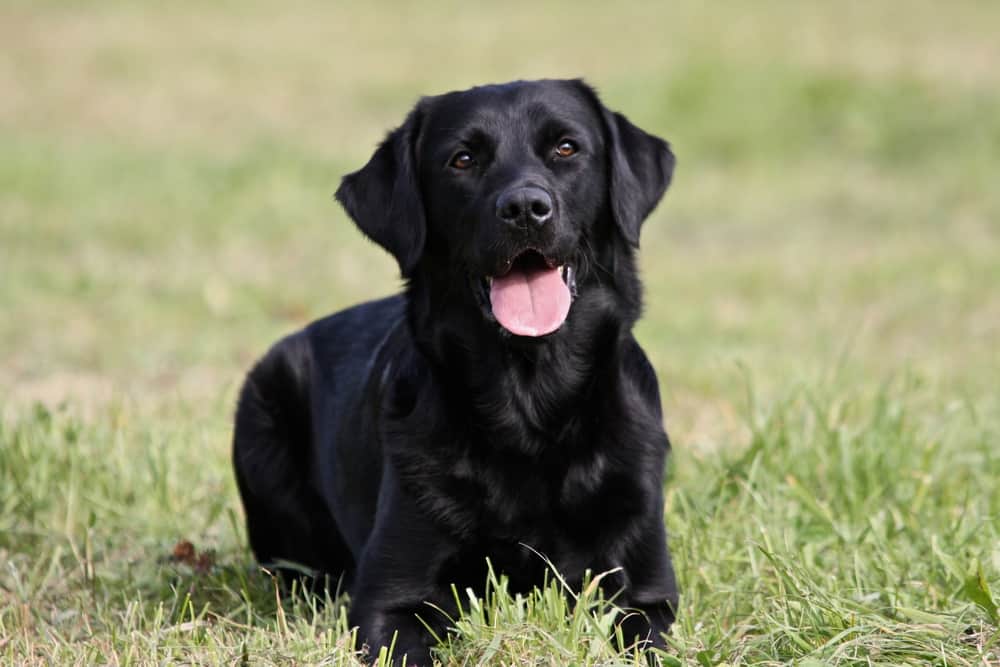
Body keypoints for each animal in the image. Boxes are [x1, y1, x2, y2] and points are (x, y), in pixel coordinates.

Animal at [230, 79, 676, 667]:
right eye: (462, 160)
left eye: (566, 148)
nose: (526, 208)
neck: (529, 404)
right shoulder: (393, 597)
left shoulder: (646, 592)